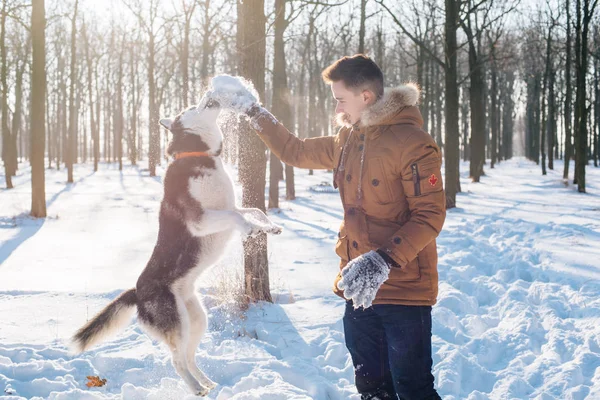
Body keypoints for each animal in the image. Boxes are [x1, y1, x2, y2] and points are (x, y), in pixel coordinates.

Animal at [71, 94, 282, 396]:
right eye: (191, 107)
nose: (209, 96)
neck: (198, 155)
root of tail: (137, 291)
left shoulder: (231, 207)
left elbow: (254, 210)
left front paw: (268, 227)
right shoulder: (201, 219)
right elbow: (238, 217)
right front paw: (250, 230)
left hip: (196, 319)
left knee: (190, 357)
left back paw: (206, 382)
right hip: (177, 323)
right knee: (176, 360)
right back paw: (195, 388)